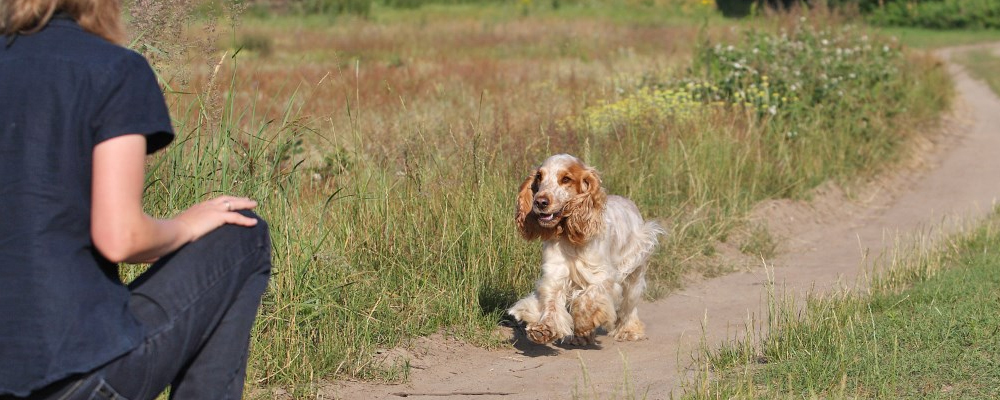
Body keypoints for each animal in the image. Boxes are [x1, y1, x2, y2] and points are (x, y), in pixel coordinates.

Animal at [508, 155, 664, 346]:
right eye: (539, 176)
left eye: (566, 179)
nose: (540, 202)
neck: (570, 235)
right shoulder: (555, 274)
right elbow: (551, 303)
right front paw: (544, 329)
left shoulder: (602, 275)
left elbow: (588, 299)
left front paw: (583, 323)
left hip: (634, 271)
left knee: (629, 306)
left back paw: (629, 330)